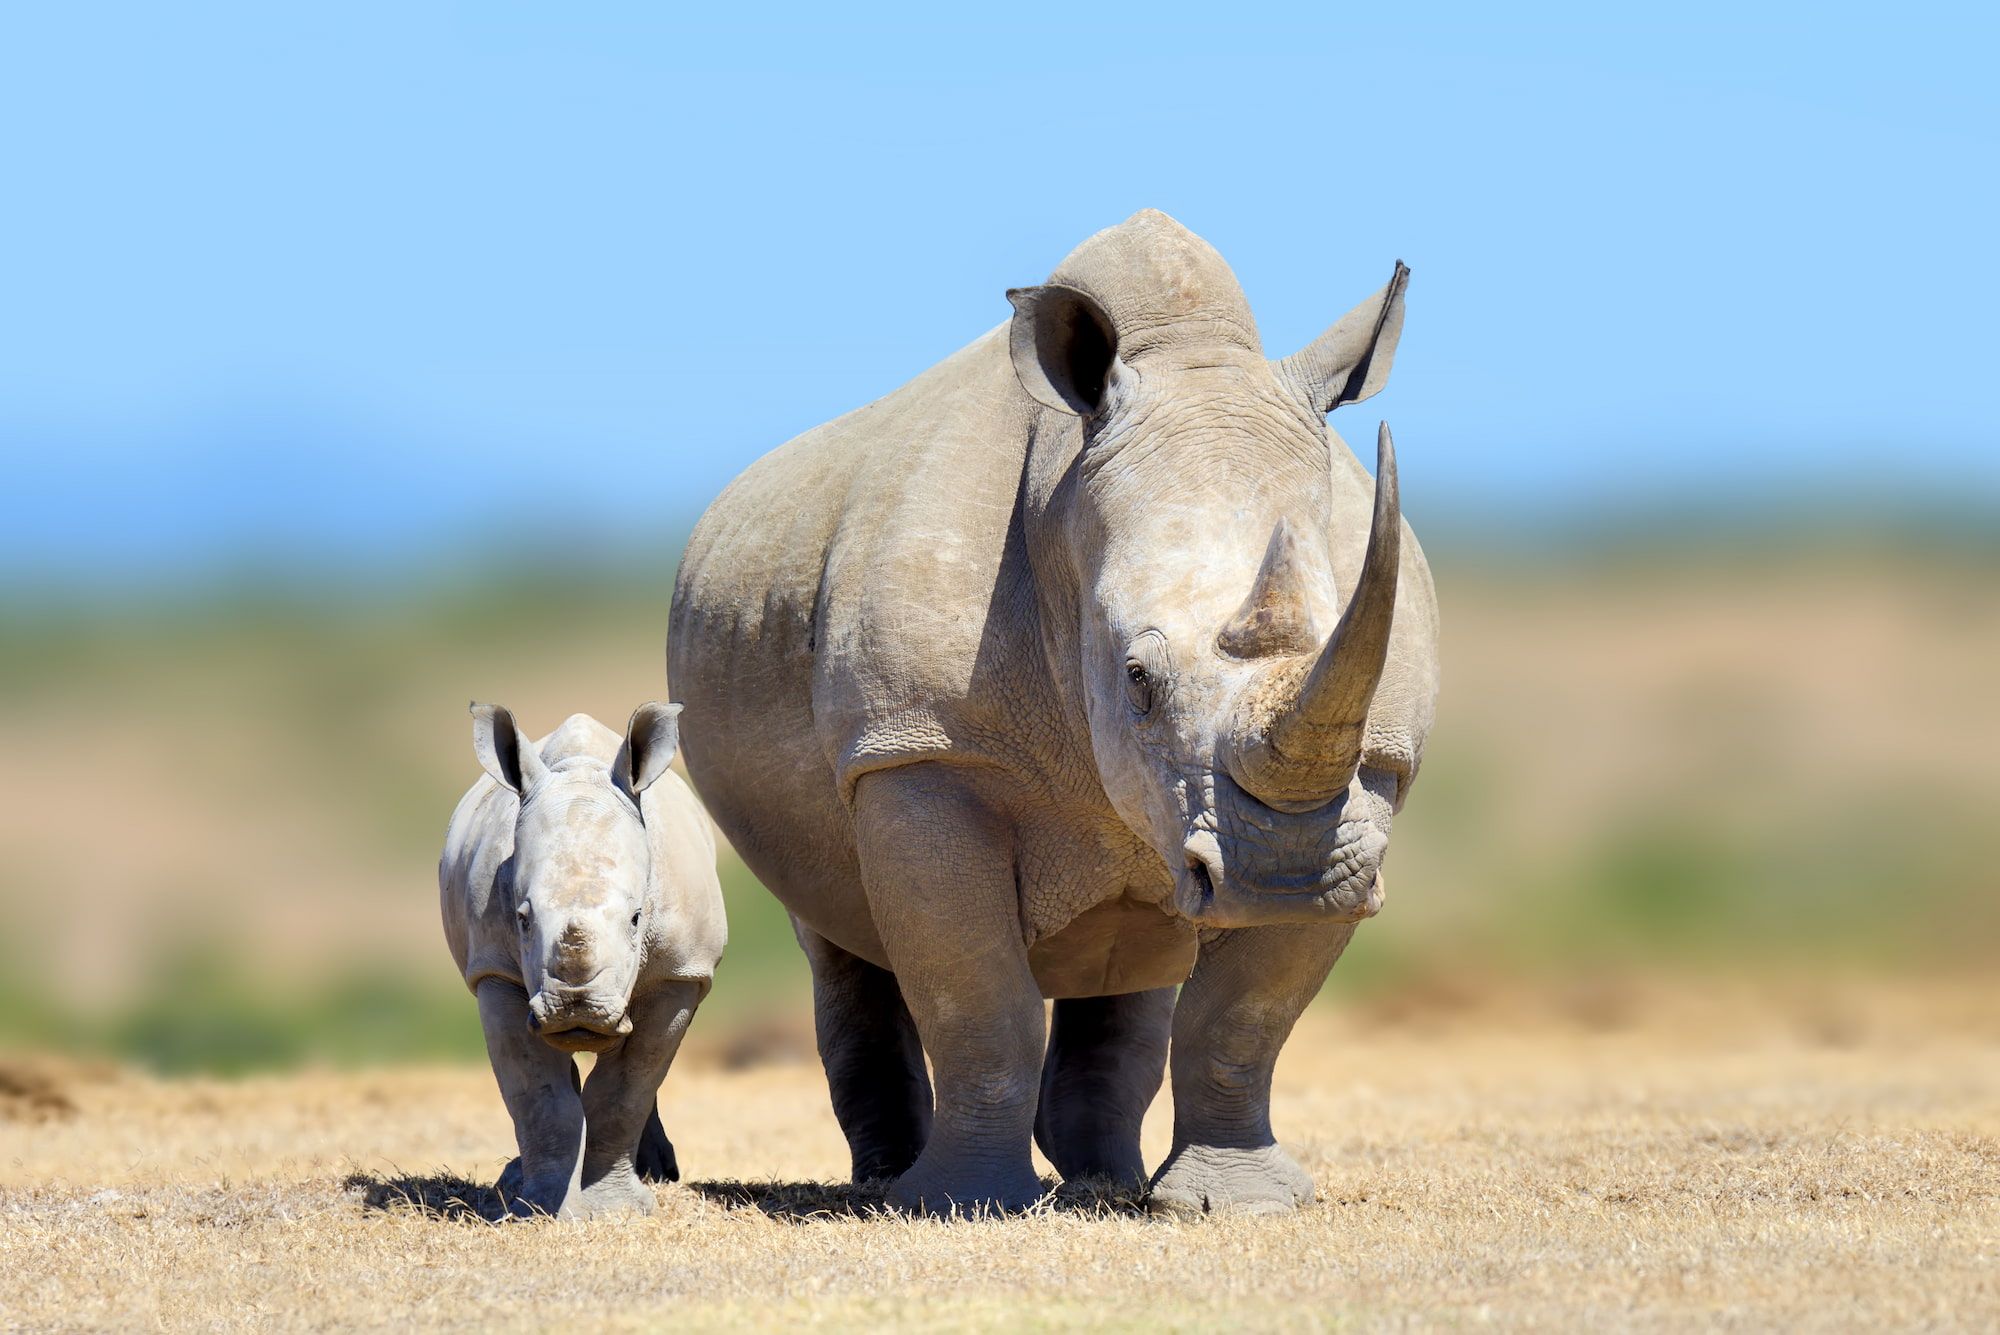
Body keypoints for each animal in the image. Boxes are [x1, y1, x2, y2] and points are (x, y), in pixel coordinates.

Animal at [439, 703, 725, 1218]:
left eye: (636, 918)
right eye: (522, 919)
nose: (577, 1009)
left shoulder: (680, 972)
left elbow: (627, 1087)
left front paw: (616, 1210)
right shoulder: (495, 970)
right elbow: (537, 1092)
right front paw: (539, 1207)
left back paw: (657, 1172)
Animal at [668, 210, 1438, 1215]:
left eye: (1353, 641)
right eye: (1137, 678)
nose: (1287, 877)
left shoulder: (1369, 771)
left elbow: (1243, 1017)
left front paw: (1236, 1203)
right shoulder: (920, 749)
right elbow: (975, 996)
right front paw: (958, 1203)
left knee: (1139, 938)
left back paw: (1106, 1181)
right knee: (837, 929)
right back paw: (889, 1183)